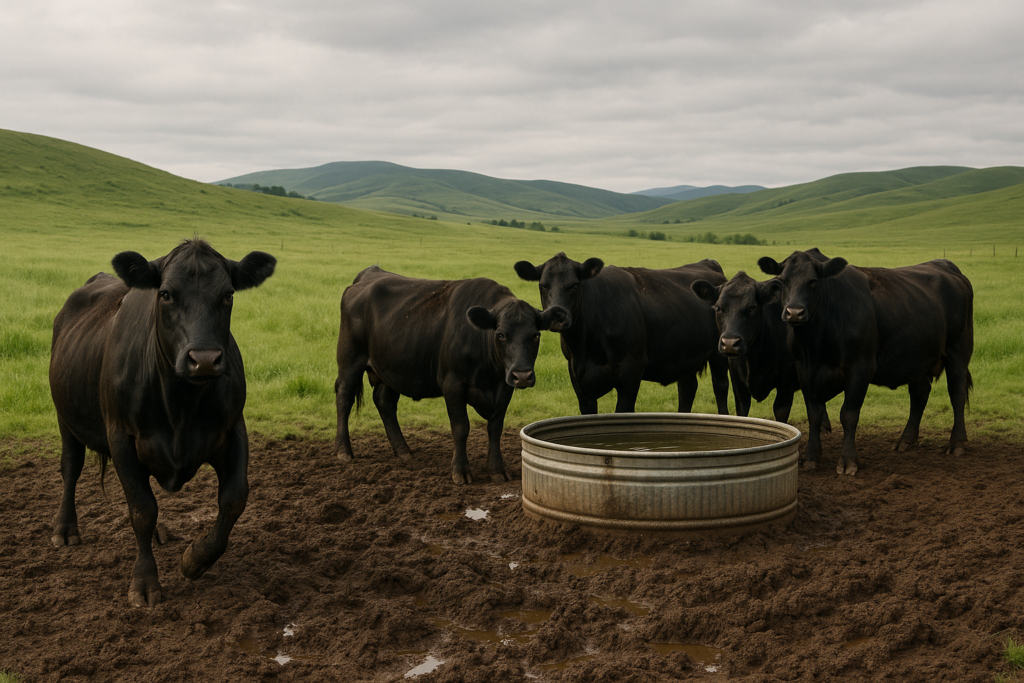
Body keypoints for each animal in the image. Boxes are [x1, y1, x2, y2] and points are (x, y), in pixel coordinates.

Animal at [49, 238, 276, 607]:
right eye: (166, 294)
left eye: (228, 294)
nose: (204, 359)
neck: (180, 406)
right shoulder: (122, 438)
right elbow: (142, 509)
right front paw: (145, 582)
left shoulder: (232, 430)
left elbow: (234, 498)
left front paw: (195, 559)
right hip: (65, 418)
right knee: (72, 467)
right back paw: (65, 529)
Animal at [334, 266, 568, 484]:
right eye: (501, 334)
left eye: (535, 335)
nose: (522, 375)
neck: (489, 375)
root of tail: (370, 273)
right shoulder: (452, 383)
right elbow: (461, 427)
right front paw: (460, 471)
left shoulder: (504, 387)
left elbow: (495, 428)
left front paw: (497, 470)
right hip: (350, 361)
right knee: (344, 398)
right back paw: (343, 451)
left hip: (388, 368)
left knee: (384, 402)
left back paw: (403, 450)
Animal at [513, 253, 730, 415]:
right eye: (542, 285)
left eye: (575, 285)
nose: (557, 315)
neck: (586, 346)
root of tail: (708, 263)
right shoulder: (577, 377)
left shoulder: (631, 371)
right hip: (686, 354)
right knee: (687, 388)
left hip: (720, 353)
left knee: (720, 387)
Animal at [691, 250, 832, 432]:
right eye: (718, 308)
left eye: (752, 308)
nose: (730, 343)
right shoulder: (738, 385)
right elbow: (742, 412)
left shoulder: (785, 386)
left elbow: (781, 415)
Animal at [758, 249, 973, 475]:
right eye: (782, 281)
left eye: (813, 282)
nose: (794, 312)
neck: (817, 342)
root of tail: (945, 264)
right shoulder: (805, 370)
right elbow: (814, 416)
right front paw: (811, 457)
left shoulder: (860, 369)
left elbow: (849, 414)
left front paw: (848, 460)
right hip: (918, 358)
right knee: (919, 394)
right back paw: (906, 440)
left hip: (958, 352)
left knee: (957, 393)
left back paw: (957, 444)